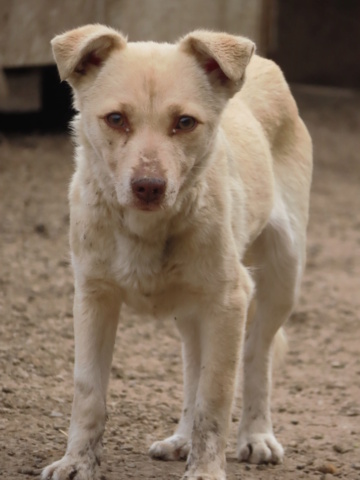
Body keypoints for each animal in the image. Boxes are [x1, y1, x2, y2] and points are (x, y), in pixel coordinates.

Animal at [42, 24, 312, 478]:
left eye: (184, 123)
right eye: (116, 119)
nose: (149, 186)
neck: (146, 230)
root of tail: (262, 61)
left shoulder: (229, 301)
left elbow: (215, 398)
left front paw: (206, 470)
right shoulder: (94, 297)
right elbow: (88, 391)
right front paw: (77, 462)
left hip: (282, 277)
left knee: (256, 356)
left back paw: (256, 435)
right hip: (191, 307)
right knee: (193, 364)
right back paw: (183, 439)